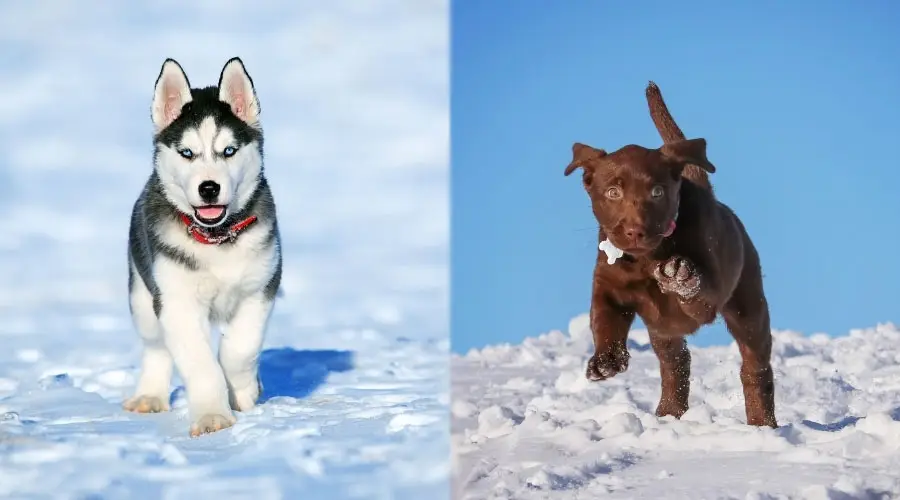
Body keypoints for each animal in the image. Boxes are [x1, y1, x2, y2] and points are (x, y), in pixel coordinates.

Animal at [125, 56, 282, 436]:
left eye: (228, 151)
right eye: (187, 153)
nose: (209, 188)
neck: (216, 239)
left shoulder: (260, 288)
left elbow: (240, 349)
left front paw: (243, 391)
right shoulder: (176, 301)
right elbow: (200, 362)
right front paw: (213, 415)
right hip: (142, 295)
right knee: (156, 348)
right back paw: (149, 396)